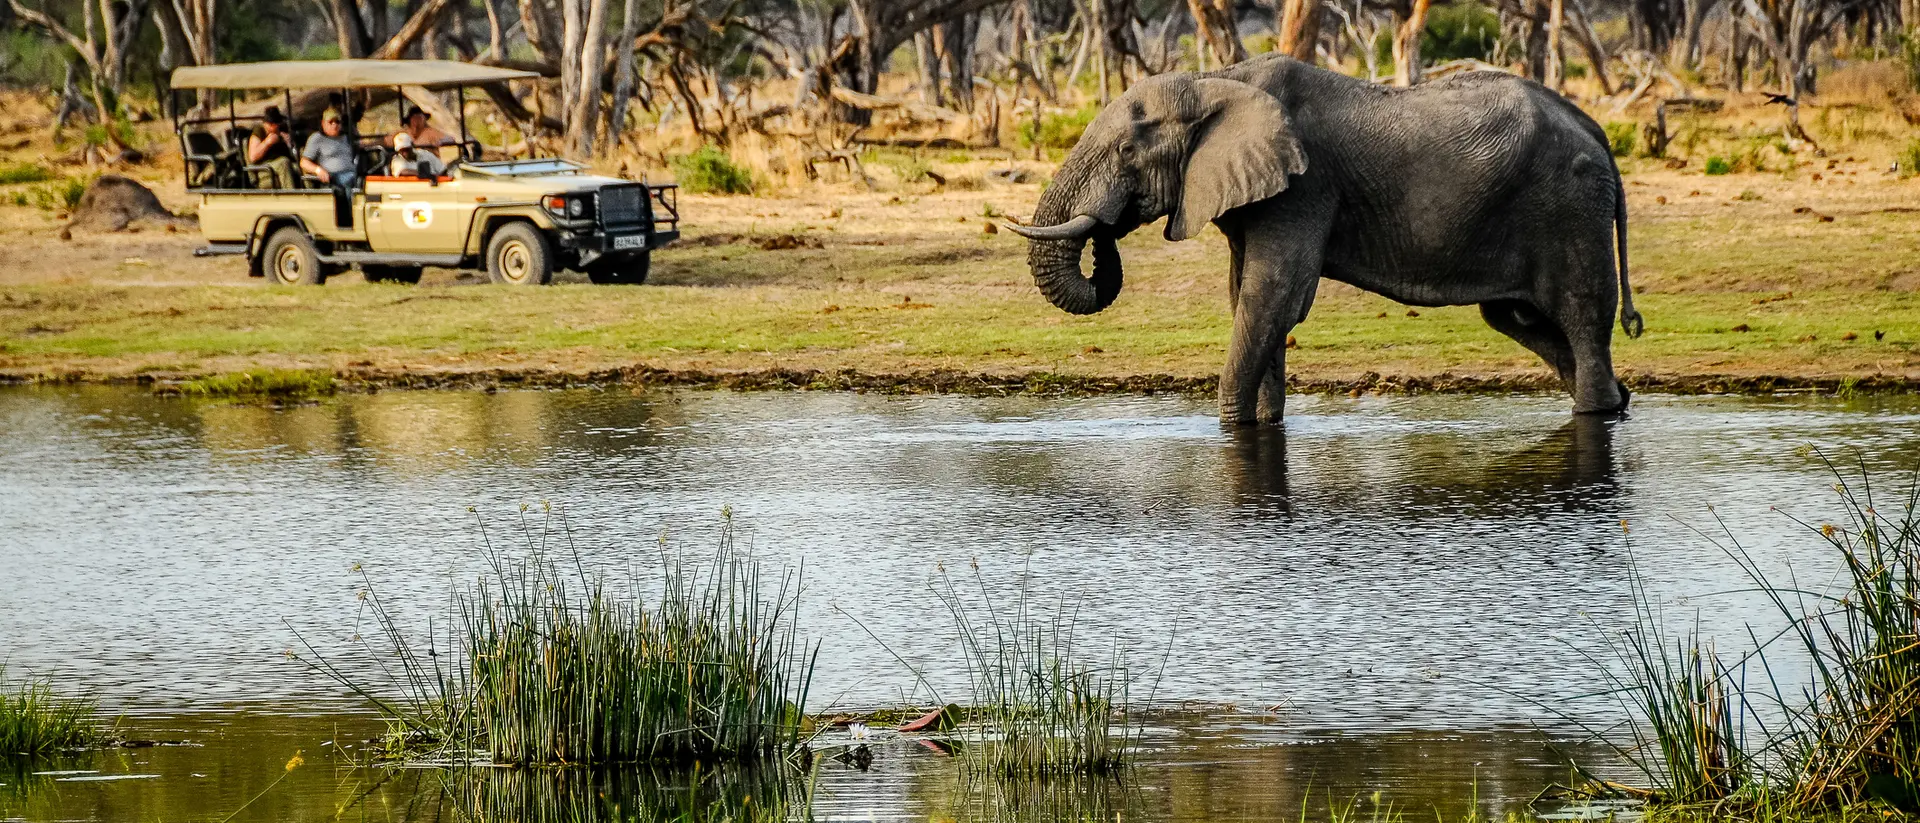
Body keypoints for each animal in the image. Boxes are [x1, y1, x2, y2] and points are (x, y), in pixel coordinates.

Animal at [1008, 55, 1644, 426]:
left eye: (1126, 151)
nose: (1106, 229)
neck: (1215, 80)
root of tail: (1596, 129)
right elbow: (1248, 300)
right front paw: (1262, 426)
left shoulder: (1304, 188)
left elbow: (1272, 296)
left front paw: (1230, 428)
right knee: (1521, 320)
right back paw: (1617, 402)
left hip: (1569, 209)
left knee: (1581, 317)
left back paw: (1597, 410)